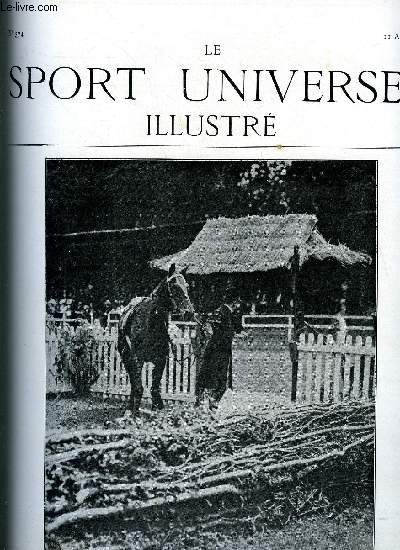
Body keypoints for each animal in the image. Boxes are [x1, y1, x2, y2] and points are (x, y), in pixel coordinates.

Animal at [117, 266, 194, 414]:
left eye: (187, 286)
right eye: (174, 285)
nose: (189, 312)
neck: (151, 321)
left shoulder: (160, 360)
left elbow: (155, 387)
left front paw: (158, 409)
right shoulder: (137, 359)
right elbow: (138, 387)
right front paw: (134, 413)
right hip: (126, 357)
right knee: (134, 383)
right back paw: (129, 408)